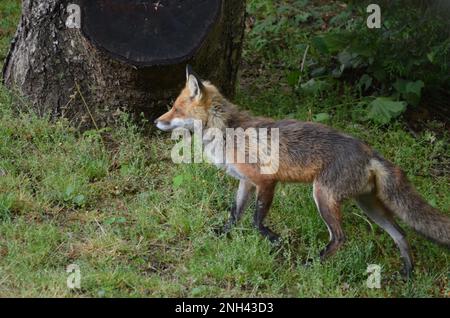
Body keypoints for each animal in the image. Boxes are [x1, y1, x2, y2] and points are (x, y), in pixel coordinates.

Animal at [156, 66, 450, 278]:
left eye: (176, 109)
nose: (156, 121)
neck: (228, 131)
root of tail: (369, 152)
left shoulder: (266, 181)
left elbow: (255, 220)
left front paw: (274, 240)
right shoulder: (246, 183)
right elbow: (235, 213)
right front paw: (222, 234)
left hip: (323, 196)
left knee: (340, 238)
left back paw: (311, 264)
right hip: (366, 204)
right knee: (400, 234)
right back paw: (407, 273)